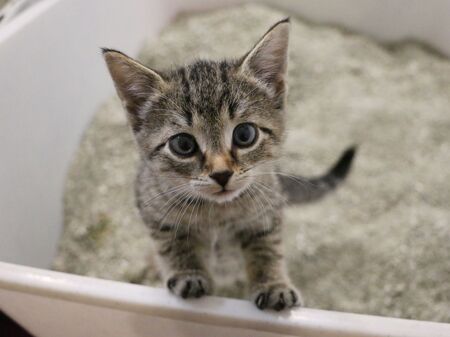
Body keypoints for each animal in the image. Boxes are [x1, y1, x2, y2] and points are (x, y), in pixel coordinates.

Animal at [102, 19, 356, 310]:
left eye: (245, 134)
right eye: (183, 145)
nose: (221, 174)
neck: (217, 212)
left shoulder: (267, 213)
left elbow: (267, 249)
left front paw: (273, 285)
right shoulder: (153, 210)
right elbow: (173, 246)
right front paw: (189, 273)